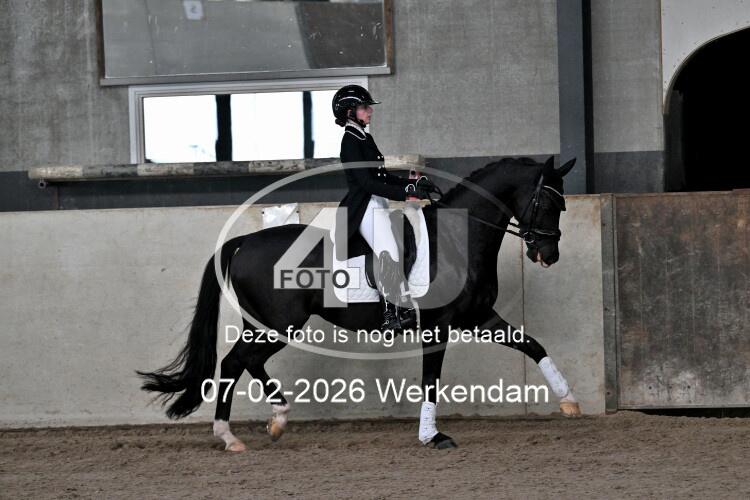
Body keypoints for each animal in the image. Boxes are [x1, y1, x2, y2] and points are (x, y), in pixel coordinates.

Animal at [138, 155, 579, 451]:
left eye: (562, 205)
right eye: (547, 203)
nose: (548, 255)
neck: (458, 240)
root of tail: (245, 242)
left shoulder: (479, 317)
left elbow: (533, 345)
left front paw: (569, 401)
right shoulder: (439, 327)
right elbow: (430, 382)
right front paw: (432, 436)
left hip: (265, 324)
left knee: (241, 362)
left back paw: (266, 425)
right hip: (279, 324)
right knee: (236, 362)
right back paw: (234, 434)